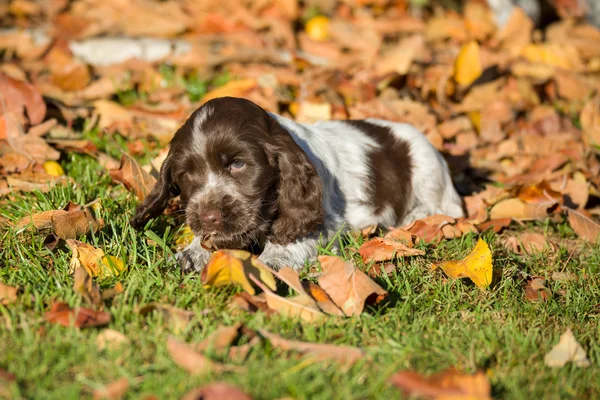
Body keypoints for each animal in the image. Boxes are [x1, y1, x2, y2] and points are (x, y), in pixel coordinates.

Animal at [131, 97, 464, 272]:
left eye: (237, 164)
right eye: (186, 174)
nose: (209, 217)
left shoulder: (326, 221)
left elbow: (293, 236)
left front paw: (271, 261)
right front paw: (191, 254)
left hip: (427, 166)